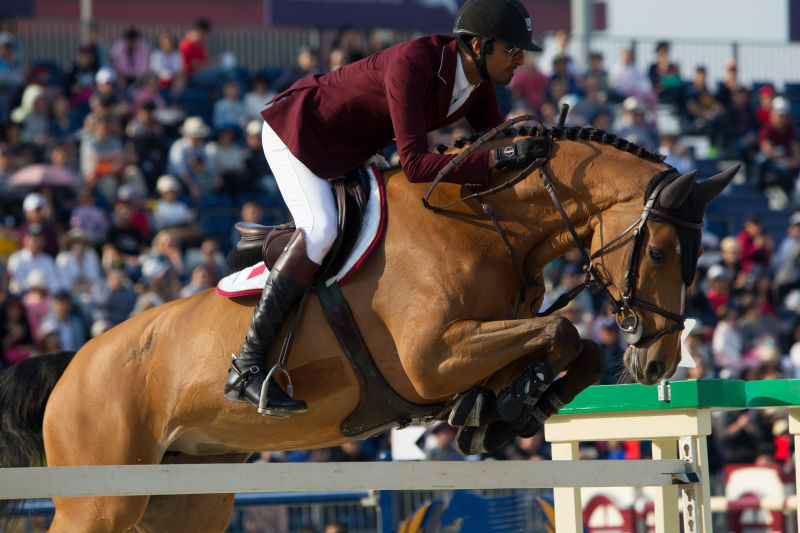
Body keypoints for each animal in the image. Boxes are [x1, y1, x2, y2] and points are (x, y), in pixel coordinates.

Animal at [0, 122, 736, 528]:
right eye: (662, 253)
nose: (658, 364)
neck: (480, 222)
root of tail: (74, 364)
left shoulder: (481, 340)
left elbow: (566, 349)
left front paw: (497, 412)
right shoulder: (431, 358)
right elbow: (564, 336)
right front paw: (498, 412)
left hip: (185, 499)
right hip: (100, 500)